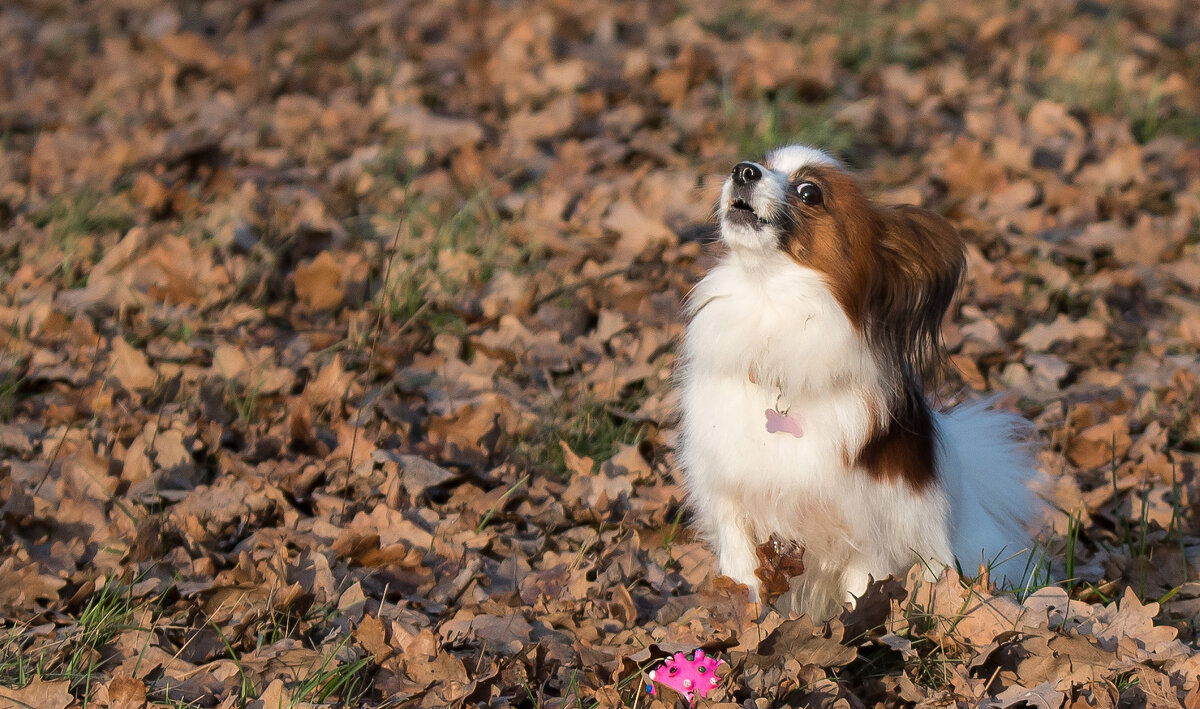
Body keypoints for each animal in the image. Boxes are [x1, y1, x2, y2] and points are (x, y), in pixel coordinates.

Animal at [681, 142, 1046, 614]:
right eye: (763, 162)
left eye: (809, 192)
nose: (742, 171)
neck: (773, 305)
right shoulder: (733, 503)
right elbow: (744, 579)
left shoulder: (869, 533)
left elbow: (862, 595)